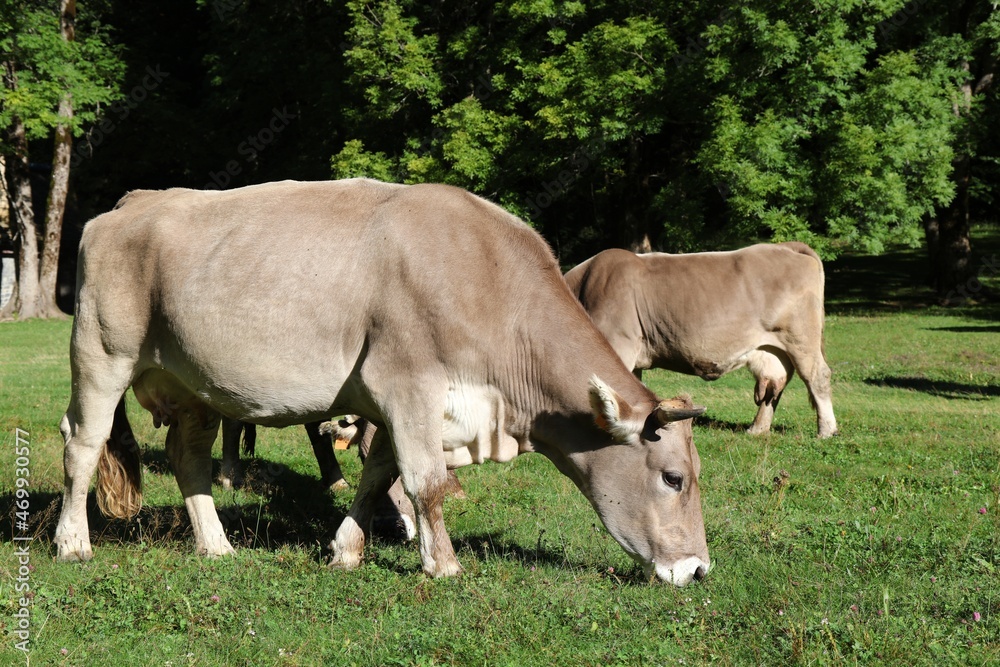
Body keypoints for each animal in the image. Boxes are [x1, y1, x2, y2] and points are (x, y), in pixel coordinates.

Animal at [56, 180, 712, 588]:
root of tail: (133, 201)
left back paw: (216, 545)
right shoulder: (408, 384)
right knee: (82, 445)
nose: (699, 569)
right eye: (672, 478)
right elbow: (426, 483)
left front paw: (346, 549)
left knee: (187, 457)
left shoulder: (398, 405)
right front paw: (442, 565)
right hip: (102, 353)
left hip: (194, 384)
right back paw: (72, 542)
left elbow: (378, 477)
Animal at [564, 244, 836, 438]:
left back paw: (826, 431)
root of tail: (787, 246)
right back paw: (757, 429)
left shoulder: (620, 342)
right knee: (775, 385)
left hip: (801, 338)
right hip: (773, 348)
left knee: (817, 376)